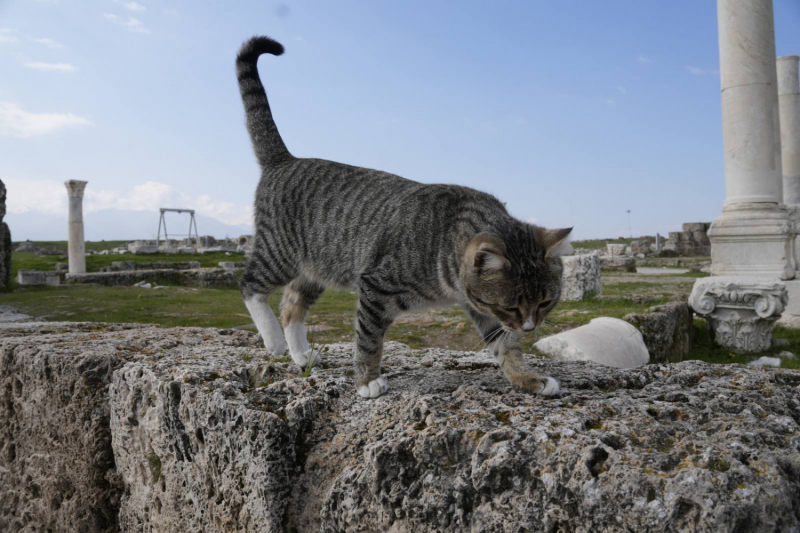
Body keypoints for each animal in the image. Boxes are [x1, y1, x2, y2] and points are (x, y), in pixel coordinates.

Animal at [236, 34, 568, 400]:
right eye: (511, 307)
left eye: (545, 302)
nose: (530, 327)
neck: (444, 239)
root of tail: (285, 160)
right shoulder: (375, 286)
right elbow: (368, 340)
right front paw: (367, 380)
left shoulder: (480, 307)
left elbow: (506, 346)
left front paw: (528, 377)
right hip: (279, 251)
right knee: (250, 285)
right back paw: (274, 340)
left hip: (317, 265)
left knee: (292, 304)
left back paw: (299, 352)